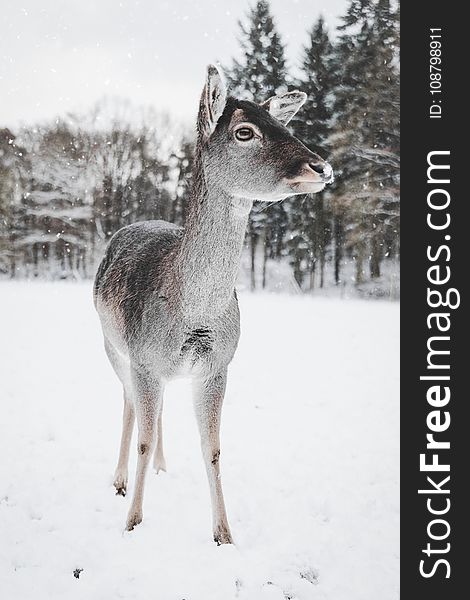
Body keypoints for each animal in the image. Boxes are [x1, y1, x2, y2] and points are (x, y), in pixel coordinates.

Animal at [93, 65, 332, 544]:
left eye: (285, 124)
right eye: (244, 131)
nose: (321, 166)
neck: (196, 316)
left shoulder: (218, 365)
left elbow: (214, 448)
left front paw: (224, 533)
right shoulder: (144, 359)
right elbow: (143, 436)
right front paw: (132, 522)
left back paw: (162, 466)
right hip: (111, 345)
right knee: (128, 403)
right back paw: (119, 479)